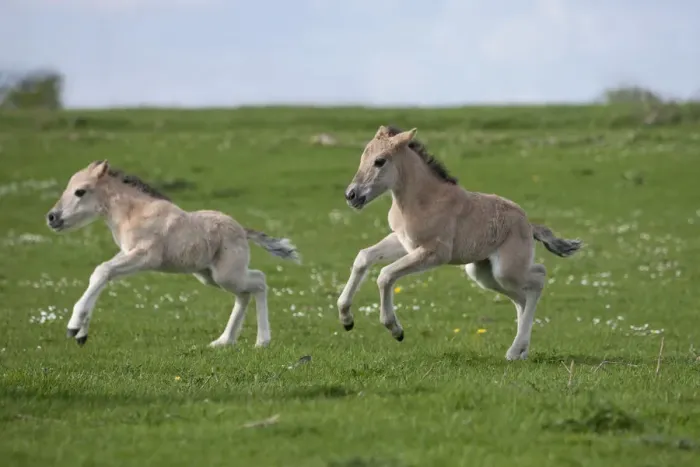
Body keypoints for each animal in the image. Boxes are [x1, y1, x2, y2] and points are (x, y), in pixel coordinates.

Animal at [337, 125, 581, 360]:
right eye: (363, 156)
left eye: (380, 161)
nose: (351, 195)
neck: (424, 200)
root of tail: (529, 225)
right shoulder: (402, 242)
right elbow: (364, 257)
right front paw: (346, 318)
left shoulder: (435, 253)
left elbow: (385, 274)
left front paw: (395, 329)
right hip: (484, 274)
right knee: (522, 298)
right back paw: (522, 352)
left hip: (506, 271)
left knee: (538, 278)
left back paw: (514, 352)